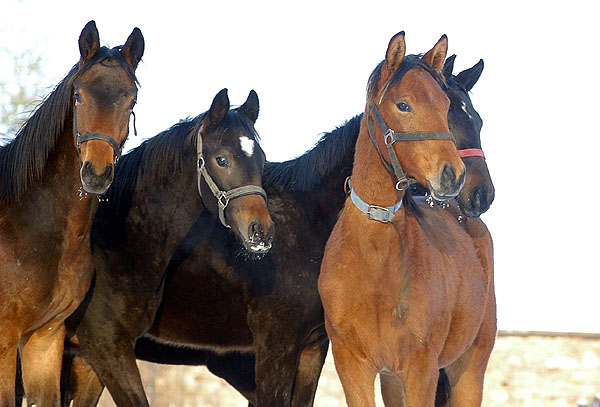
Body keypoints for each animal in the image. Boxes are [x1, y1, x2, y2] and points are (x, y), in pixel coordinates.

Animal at [316, 31, 494, 407]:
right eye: (403, 105)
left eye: (443, 106)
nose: (453, 176)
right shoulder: (353, 366)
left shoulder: (421, 370)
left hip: (470, 366)